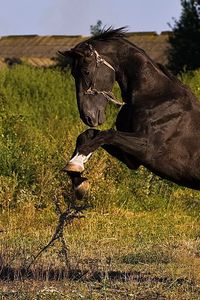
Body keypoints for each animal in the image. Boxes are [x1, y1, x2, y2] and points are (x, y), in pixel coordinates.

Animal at [59, 28, 200, 197]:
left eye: (86, 71)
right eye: (73, 74)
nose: (87, 116)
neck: (154, 95)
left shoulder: (147, 148)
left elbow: (108, 134)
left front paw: (76, 164)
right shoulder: (132, 159)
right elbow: (89, 134)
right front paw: (78, 179)